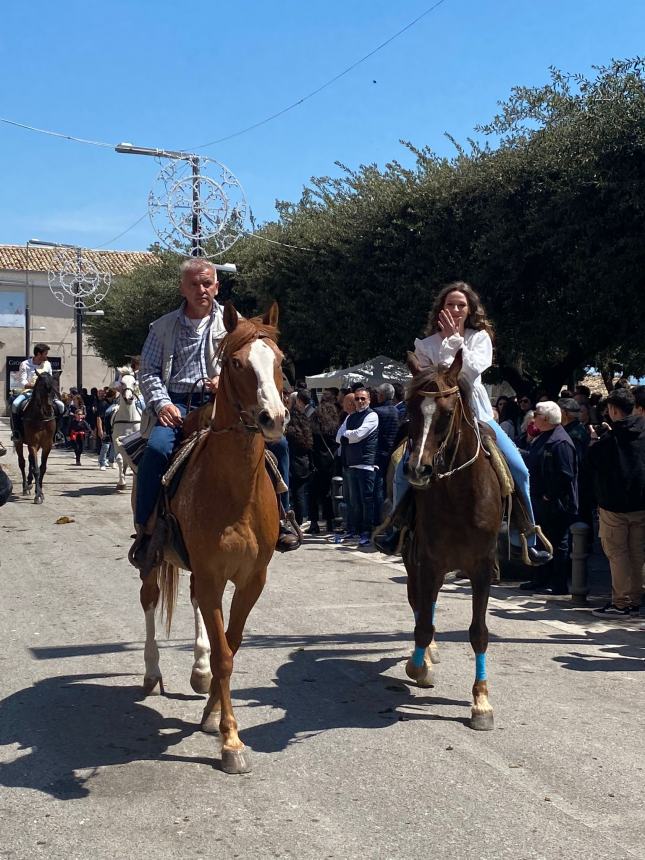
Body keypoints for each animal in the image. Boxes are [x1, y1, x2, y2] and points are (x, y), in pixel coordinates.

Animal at [402, 350, 504, 732]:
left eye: (446, 414)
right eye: (410, 410)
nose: (418, 470)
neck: (462, 495)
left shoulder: (481, 567)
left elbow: (478, 632)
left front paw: (481, 702)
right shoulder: (428, 560)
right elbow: (422, 624)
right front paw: (419, 666)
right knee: (420, 604)